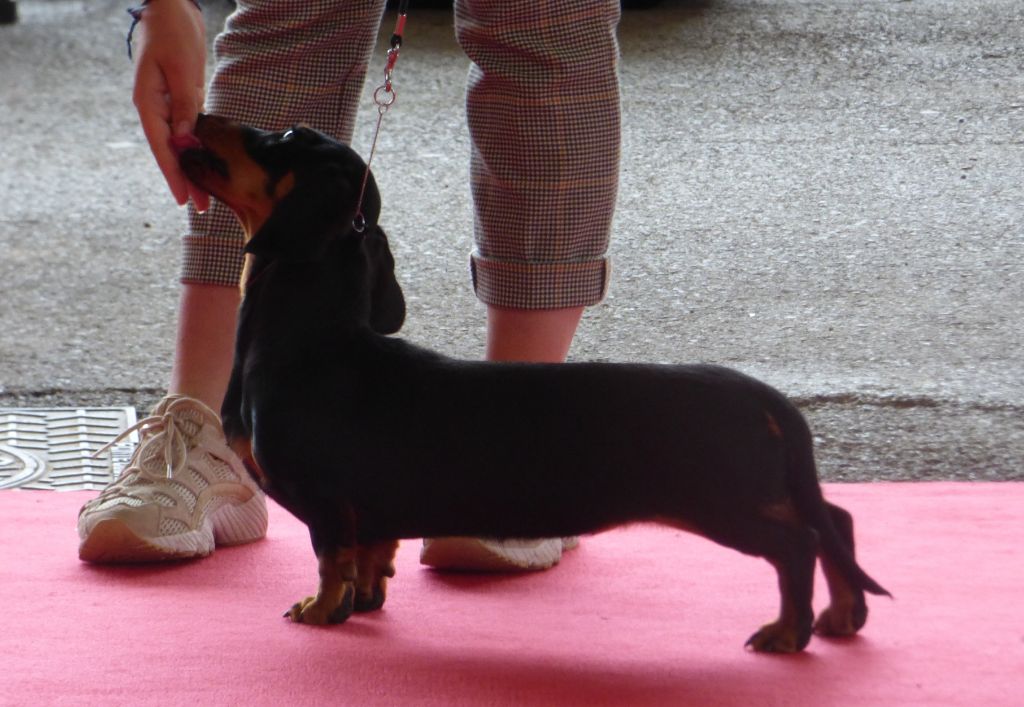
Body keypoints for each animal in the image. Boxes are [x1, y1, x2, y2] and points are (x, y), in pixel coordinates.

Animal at [182, 114, 888, 651]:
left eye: (283, 135)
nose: (202, 113)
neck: (310, 337)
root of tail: (766, 397)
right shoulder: (371, 508)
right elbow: (372, 558)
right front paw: (365, 600)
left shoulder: (326, 499)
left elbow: (331, 558)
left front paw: (321, 610)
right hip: (759, 490)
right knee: (837, 522)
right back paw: (842, 616)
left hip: (723, 500)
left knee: (800, 542)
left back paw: (788, 631)